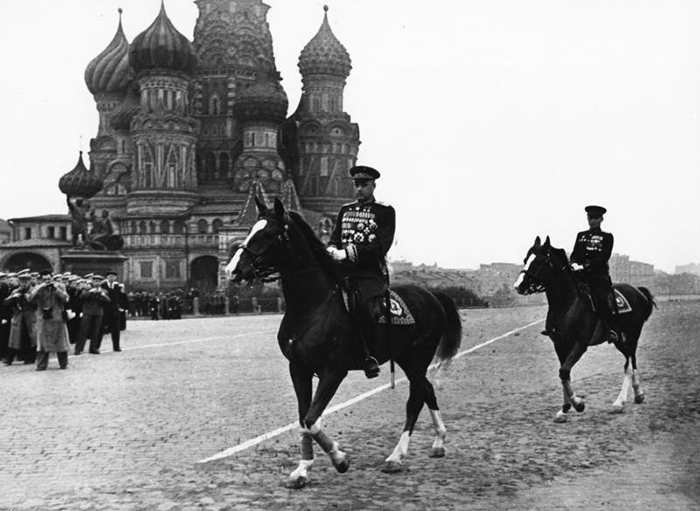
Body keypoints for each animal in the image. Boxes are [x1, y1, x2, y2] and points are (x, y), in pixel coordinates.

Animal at [227, 199, 462, 488]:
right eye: (251, 229)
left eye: (269, 234)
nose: (232, 270)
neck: (311, 307)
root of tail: (432, 295)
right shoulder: (298, 369)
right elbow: (303, 417)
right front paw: (302, 470)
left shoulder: (333, 371)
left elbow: (312, 419)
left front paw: (339, 458)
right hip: (408, 360)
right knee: (427, 390)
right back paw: (439, 441)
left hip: (418, 358)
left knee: (415, 398)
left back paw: (396, 456)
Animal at [512, 239, 652, 424]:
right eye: (525, 259)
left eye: (540, 262)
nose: (518, 286)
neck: (568, 304)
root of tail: (637, 291)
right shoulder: (560, 346)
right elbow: (564, 375)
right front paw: (564, 409)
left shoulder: (579, 345)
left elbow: (564, 372)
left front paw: (577, 404)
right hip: (620, 339)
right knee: (632, 359)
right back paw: (638, 393)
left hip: (632, 334)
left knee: (628, 364)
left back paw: (620, 402)